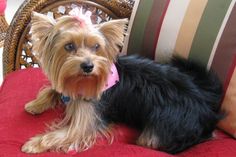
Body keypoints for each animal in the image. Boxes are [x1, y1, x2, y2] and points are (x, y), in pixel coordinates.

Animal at [21, 9, 223, 154]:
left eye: (97, 46)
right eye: (69, 46)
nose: (88, 66)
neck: (82, 81)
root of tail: (209, 111)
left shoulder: (87, 119)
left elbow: (65, 133)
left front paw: (33, 144)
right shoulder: (66, 79)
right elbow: (54, 89)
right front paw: (35, 105)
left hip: (162, 129)